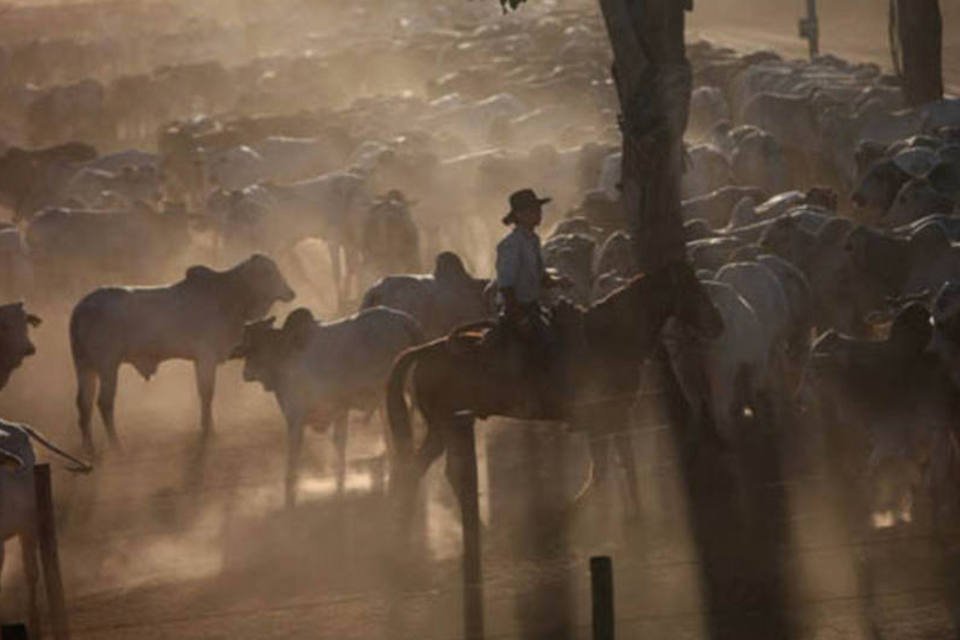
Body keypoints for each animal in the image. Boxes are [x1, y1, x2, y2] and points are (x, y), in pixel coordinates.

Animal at [70, 252, 294, 452]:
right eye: (268, 272)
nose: (291, 292)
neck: (227, 295)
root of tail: (81, 307)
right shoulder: (206, 357)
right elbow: (207, 394)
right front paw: (209, 431)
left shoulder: (199, 360)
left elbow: (203, 393)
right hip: (107, 366)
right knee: (104, 403)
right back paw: (116, 445)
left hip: (85, 366)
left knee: (83, 404)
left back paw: (88, 447)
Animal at [232, 308, 424, 508]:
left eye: (251, 344)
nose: (246, 373)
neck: (285, 351)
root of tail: (406, 322)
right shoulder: (340, 410)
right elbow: (340, 445)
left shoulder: (295, 415)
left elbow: (294, 453)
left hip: (388, 396)